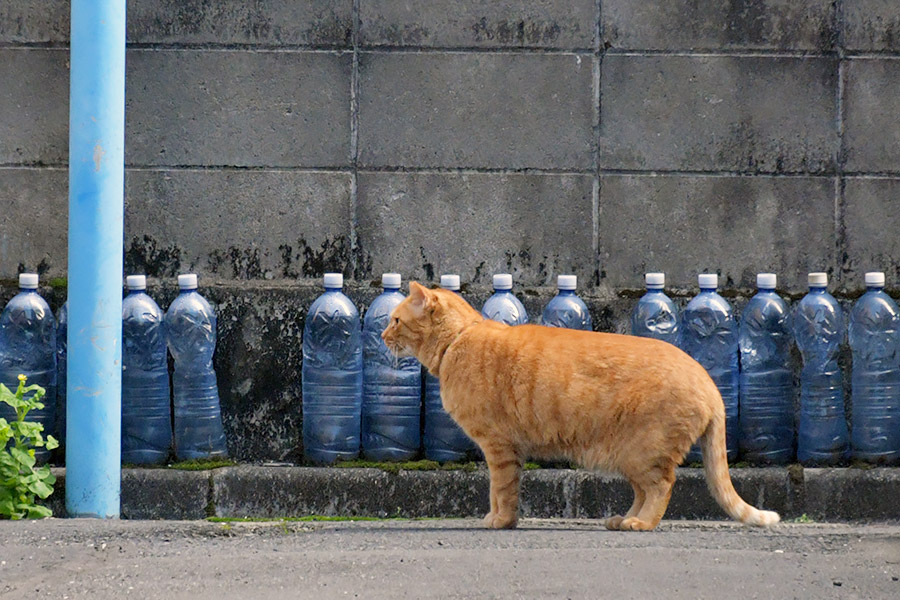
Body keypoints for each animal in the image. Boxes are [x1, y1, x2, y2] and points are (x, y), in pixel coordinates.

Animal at [380, 284, 780, 532]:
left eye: (395, 320)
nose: (383, 336)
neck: (458, 342)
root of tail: (708, 381)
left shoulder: (498, 446)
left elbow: (501, 490)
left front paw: (500, 520)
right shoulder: (505, 449)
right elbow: (502, 490)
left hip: (644, 452)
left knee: (662, 487)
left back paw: (641, 523)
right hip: (630, 457)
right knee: (643, 491)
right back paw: (622, 519)